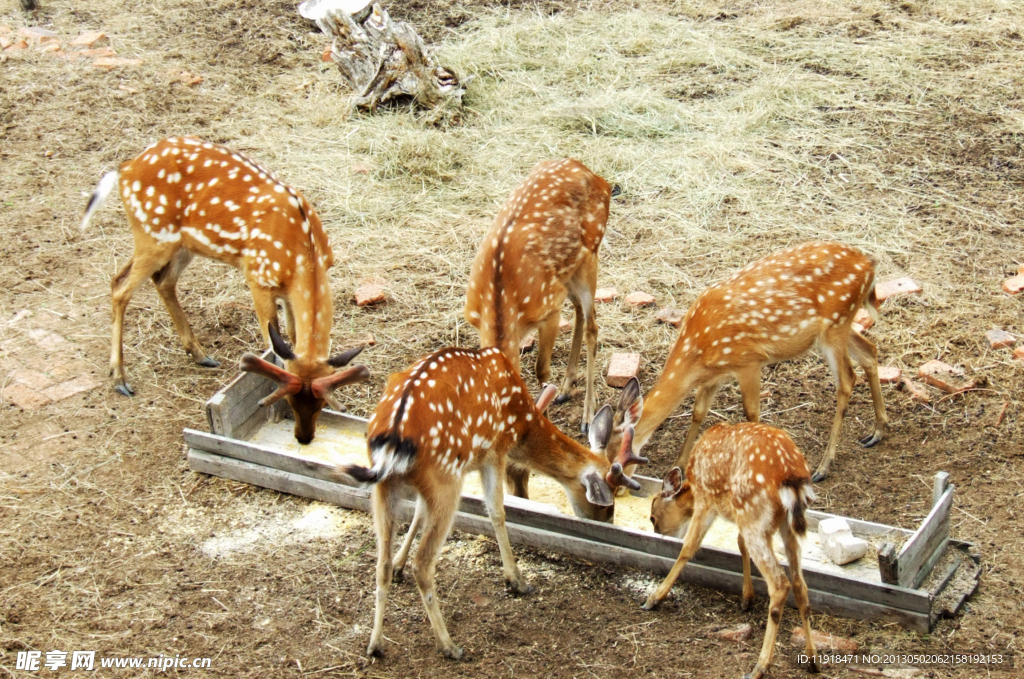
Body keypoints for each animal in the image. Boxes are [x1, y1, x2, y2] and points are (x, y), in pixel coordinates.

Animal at [79, 139, 368, 446]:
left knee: (159, 280)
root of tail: (125, 168)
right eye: (289, 400)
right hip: (152, 234)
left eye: (323, 404)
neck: (303, 257)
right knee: (120, 286)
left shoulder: (289, 292)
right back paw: (120, 379)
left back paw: (199, 354)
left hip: (181, 245)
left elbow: (291, 335)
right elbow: (272, 339)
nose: (304, 438)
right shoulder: (257, 278)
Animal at [342, 348, 647, 659]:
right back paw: (449, 646)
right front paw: (516, 581)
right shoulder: (495, 450)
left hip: (384, 486)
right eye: (607, 501)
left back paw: (375, 644)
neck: (522, 422)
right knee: (423, 564)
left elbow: (416, 513)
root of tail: (392, 440)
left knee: (380, 562)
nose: (607, 522)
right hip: (445, 476)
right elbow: (497, 512)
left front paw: (399, 565)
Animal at [606, 240, 888, 483]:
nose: (615, 488)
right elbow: (698, 412)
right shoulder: (713, 376)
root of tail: (869, 266)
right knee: (870, 351)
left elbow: (751, 413)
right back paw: (877, 431)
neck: (697, 349)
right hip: (838, 326)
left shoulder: (749, 361)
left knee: (847, 379)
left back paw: (823, 467)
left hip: (835, 324)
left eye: (614, 458)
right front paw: (679, 467)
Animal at [643, 421, 819, 679]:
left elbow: (689, 547)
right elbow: (739, 544)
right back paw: (812, 660)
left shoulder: (706, 501)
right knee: (799, 583)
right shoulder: (738, 518)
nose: (657, 532)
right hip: (785, 524)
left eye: (653, 517)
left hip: (753, 513)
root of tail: (791, 475)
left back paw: (760, 667)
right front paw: (746, 598)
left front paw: (654, 598)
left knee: (780, 584)